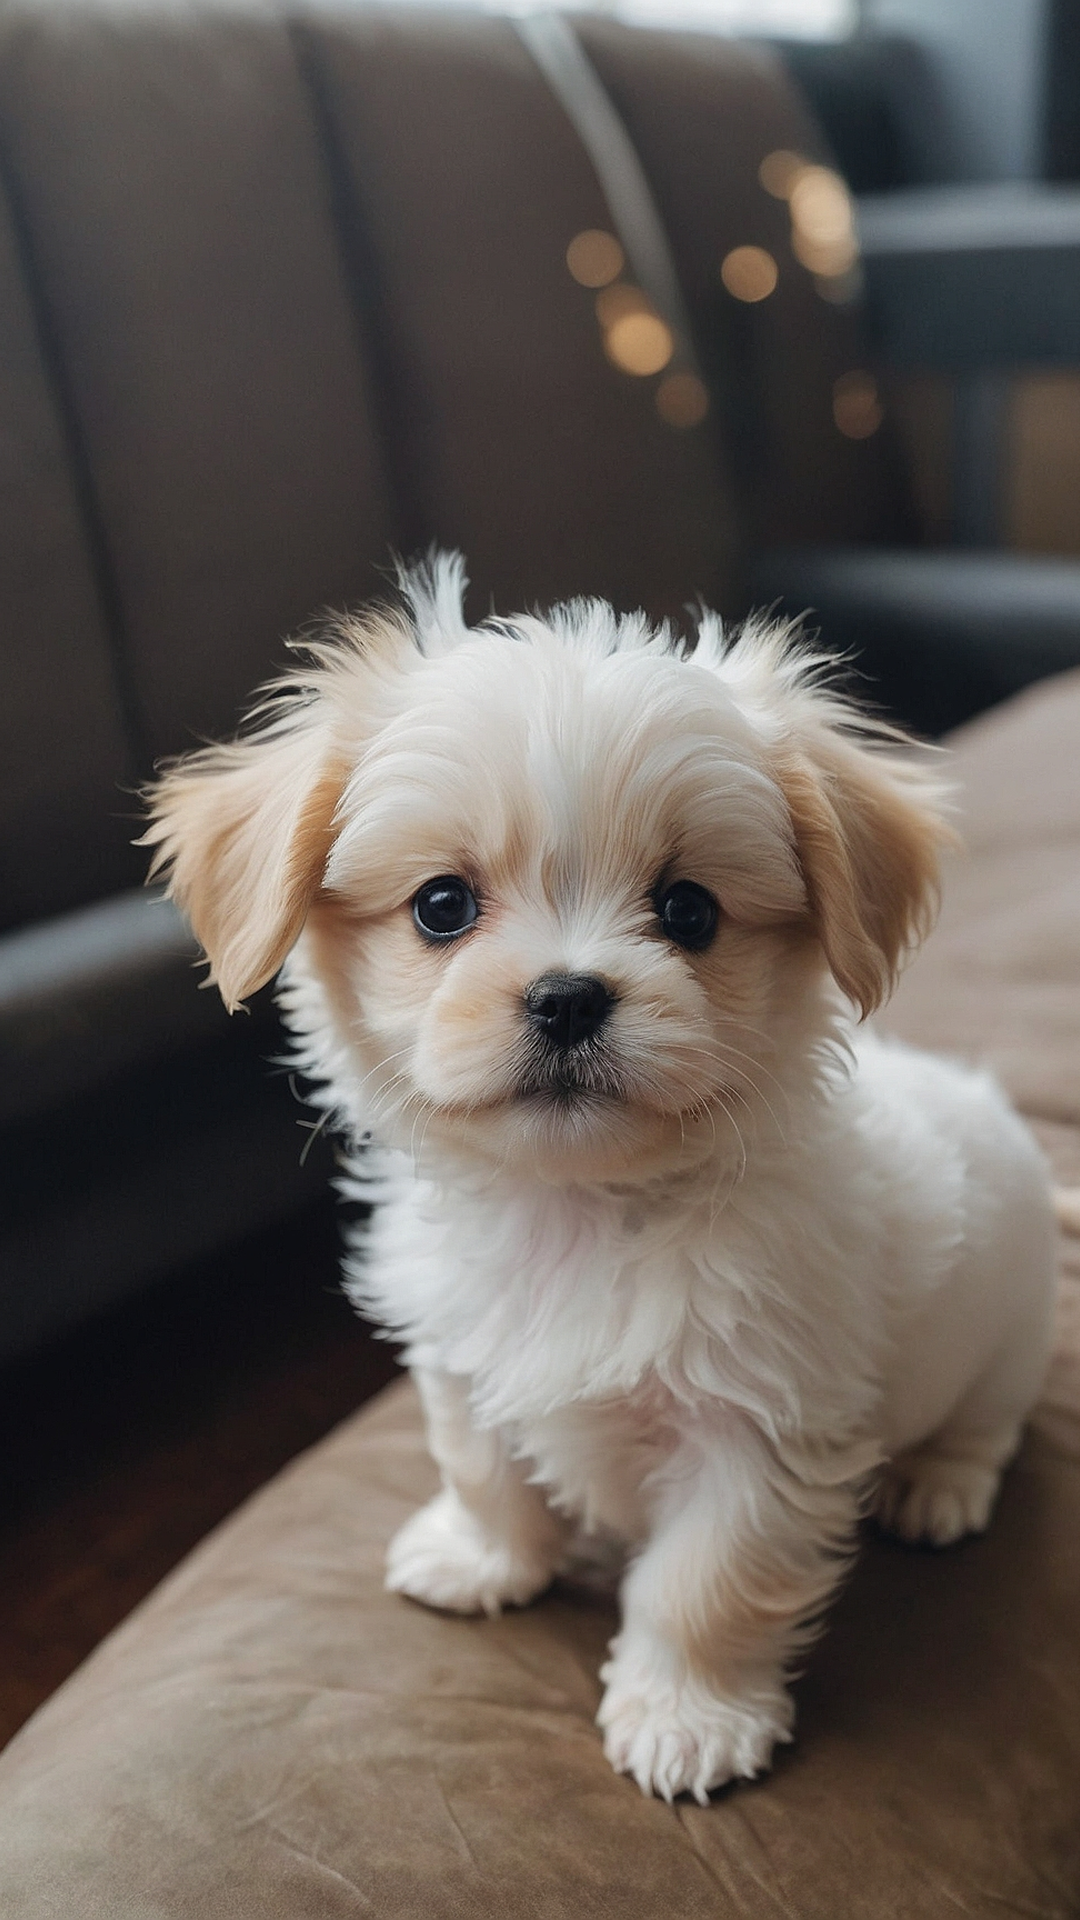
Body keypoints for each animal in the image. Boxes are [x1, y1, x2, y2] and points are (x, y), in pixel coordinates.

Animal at [143, 552, 1053, 1797]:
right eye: (442, 906)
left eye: (689, 910)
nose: (569, 996)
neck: (577, 1207)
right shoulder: (460, 1355)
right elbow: (484, 1468)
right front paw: (484, 1559)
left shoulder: (754, 1430)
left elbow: (703, 1583)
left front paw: (685, 1716)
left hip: (1007, 1334)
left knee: (988, 1425)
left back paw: (939, 1486)